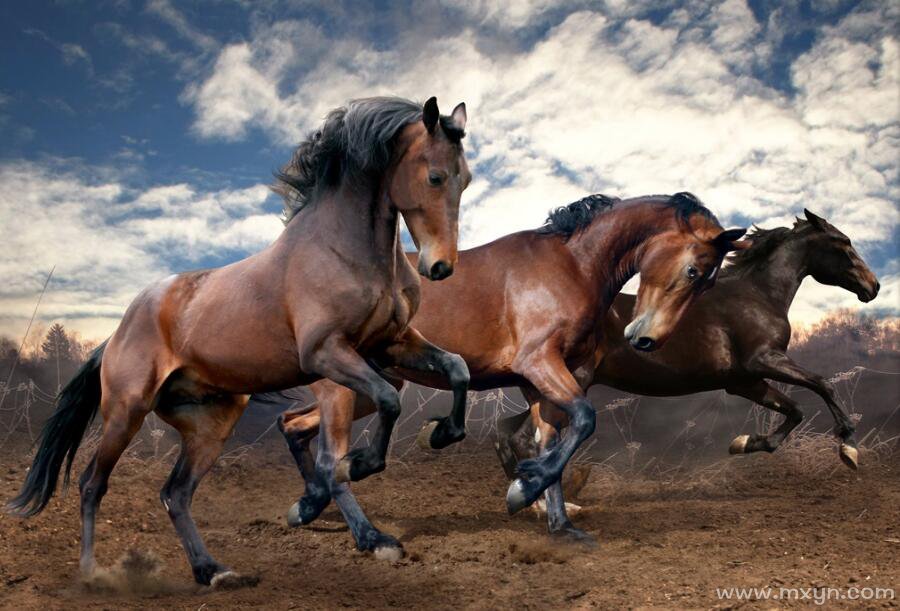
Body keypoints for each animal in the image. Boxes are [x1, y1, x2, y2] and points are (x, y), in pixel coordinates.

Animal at [8, 96, 473, 586]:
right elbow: (384, 403)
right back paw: (92, 572)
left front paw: (440, 433)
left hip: (211, 422)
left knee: (175, 493)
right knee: (92, 484)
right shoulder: (326, 353)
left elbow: (456, 368)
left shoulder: (391, 344)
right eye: (435, 176)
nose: (440, 267)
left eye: (466, 179)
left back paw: (211, 570)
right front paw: (362, 475)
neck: (345, 250)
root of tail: (115, 333)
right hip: (126, 411)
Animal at [277, 192, 747, 552]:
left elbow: (552, 441)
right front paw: (523, 490)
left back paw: (307, 506)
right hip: (343, 388)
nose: (647, 339)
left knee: (293, 425)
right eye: (693, 271)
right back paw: (371, 538)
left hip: (372, 386)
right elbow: (584, 420)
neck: (572, 266)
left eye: (706, 283)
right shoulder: (539, 364)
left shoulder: (542, 383)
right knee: (330, 459)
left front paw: (559, 523)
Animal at [495, 209, 881, 487]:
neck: (757, 295)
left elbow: (795, 410)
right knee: (522, 438)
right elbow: (822, 384)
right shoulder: (765, 360)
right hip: (573, 384)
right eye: (843, 242)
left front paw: (744, 443)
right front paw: (848, 447)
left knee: (506, 433)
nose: (873, 286)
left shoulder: (744, 381)